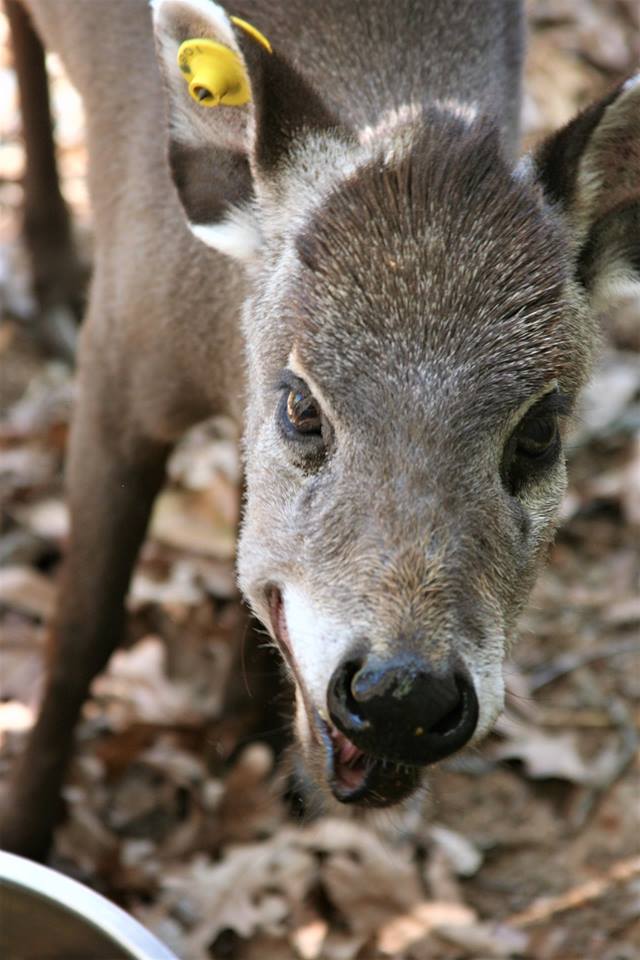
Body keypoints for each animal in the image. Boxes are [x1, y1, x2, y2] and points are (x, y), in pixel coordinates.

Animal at [2, 0, 638, 861]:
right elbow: (79, 633)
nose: (404, 693)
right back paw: (51, 283)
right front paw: (26, 835)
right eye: (302, 405)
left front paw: (247, 734)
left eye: (539, 431)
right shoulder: (120, 363)